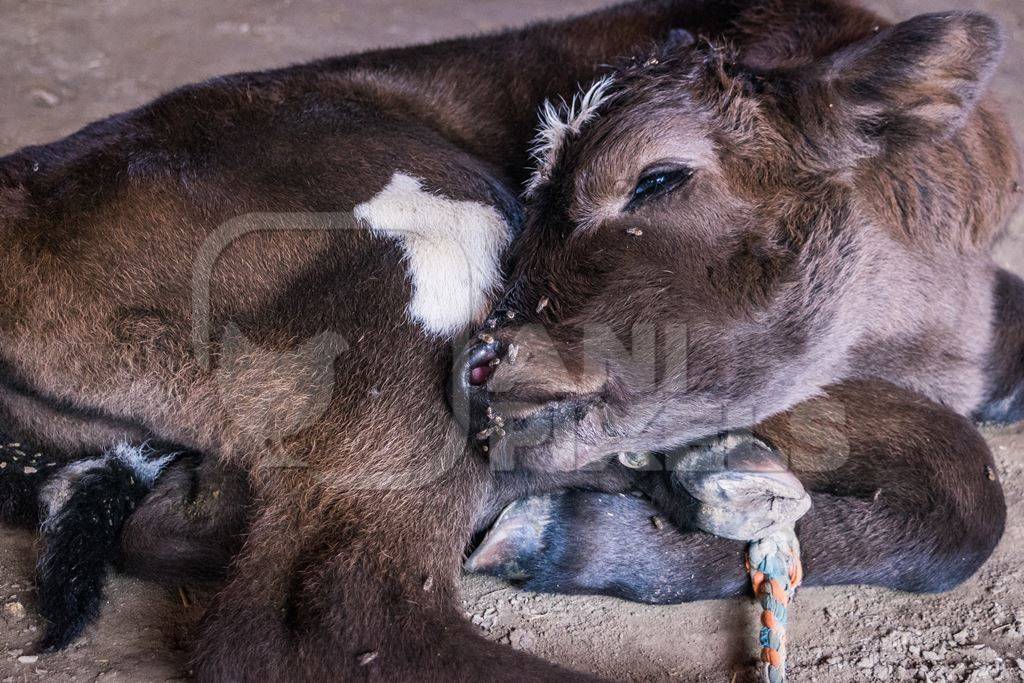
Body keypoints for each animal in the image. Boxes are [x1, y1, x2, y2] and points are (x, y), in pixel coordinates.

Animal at [2, 0, 1024, 679]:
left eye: (657, 178)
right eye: (536, 191)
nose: (483, 365)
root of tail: (27, 175)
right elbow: (965, 479)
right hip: (425, 250)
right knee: (320, 613)